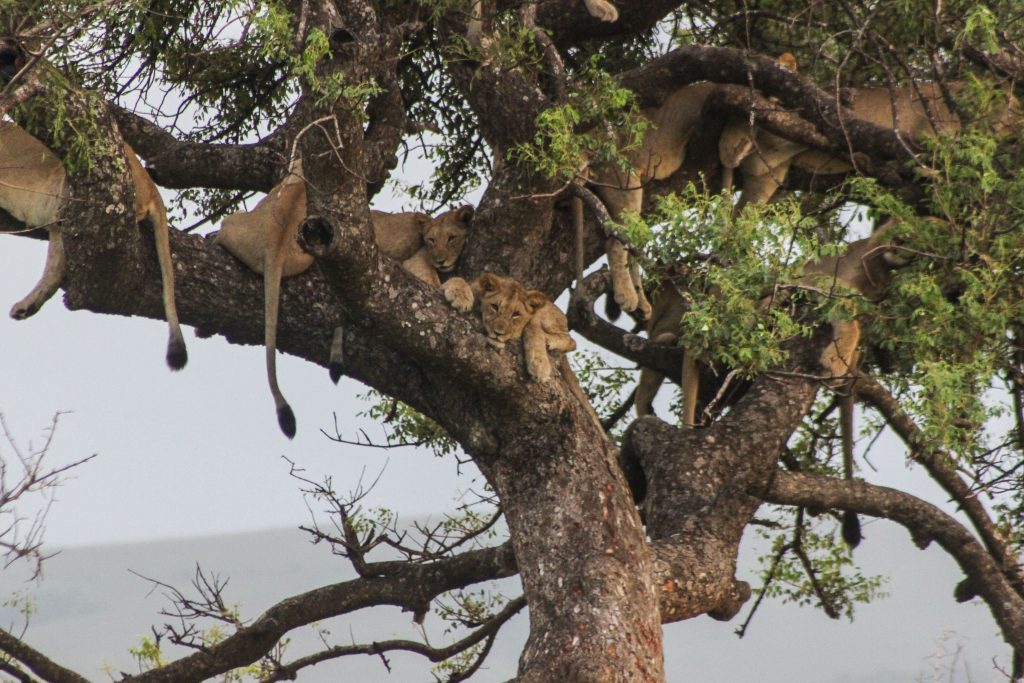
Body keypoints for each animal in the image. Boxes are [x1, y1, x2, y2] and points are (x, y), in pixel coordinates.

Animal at [213, 160, 473, 437]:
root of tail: (276, 247)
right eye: (432, 240)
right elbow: (436, 283)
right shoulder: (417, 260)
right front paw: (460, 295)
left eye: (452, 238)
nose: (441, 260)